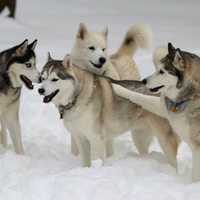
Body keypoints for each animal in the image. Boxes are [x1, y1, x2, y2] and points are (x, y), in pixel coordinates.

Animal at [38, 54, 179, 167]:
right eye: (43, 78)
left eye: (54, 79)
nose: (40, 90)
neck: (76, 97)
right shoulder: (80, 137)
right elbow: (85, 162)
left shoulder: (96, 138)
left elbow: (96, 160)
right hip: (140, 137)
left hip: (166, 141)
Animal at [111, 43, 200, 181]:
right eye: (157, 69)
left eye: (162, 71)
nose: (143, 81)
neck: (190, 96)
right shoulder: (161, 107)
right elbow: (137, 96)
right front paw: (118, 88)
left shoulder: (197, 147)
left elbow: (196, 175)